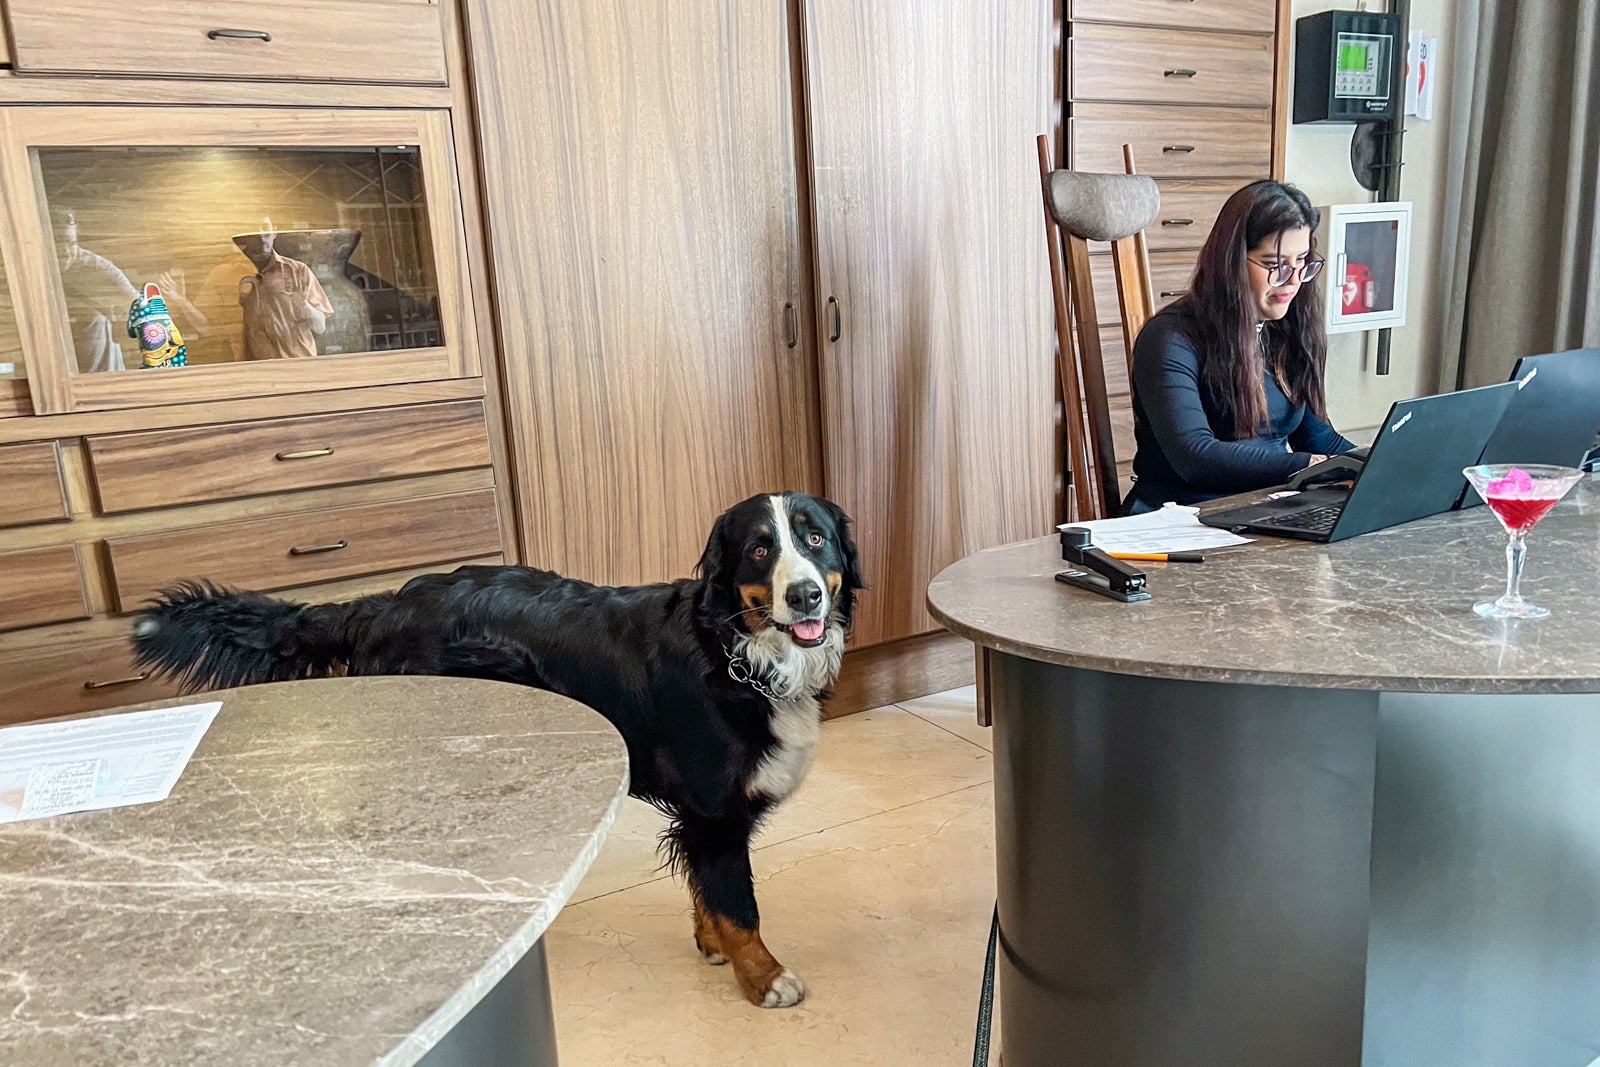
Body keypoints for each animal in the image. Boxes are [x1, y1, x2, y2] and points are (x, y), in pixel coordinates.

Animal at [128, 492, 864, 1011]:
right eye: (760, 551)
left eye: (815, 538)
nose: (805, 594)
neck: (735, 651)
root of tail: (381, 605)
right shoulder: (716, 809)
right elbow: (739, 904)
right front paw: (763, 978)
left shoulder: (704, 814)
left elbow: (707, 890)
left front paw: (710, 944)